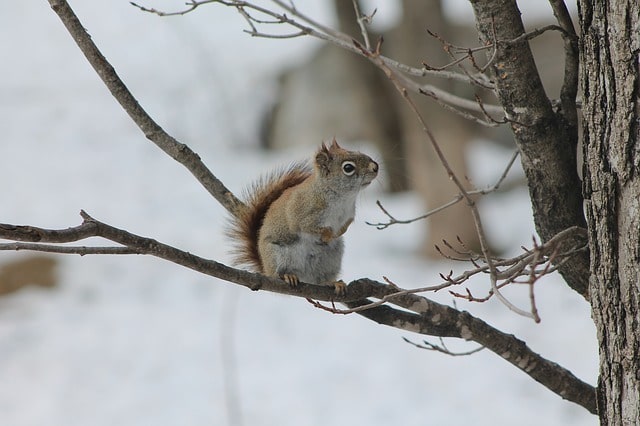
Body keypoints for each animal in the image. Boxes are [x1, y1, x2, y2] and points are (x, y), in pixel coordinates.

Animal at [228, 139, 378, 295]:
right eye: (348, 167)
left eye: (358, 152)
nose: (375, 167)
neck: (343, 199)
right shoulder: (301, 213)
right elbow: (307, 227)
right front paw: (327, 234)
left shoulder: (348, 215)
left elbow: (345, 226)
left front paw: (338, 233)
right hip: (277, 255)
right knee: (277, 274)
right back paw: (287, 275)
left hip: (331, 259)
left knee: (319, 279)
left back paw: (332, 282)